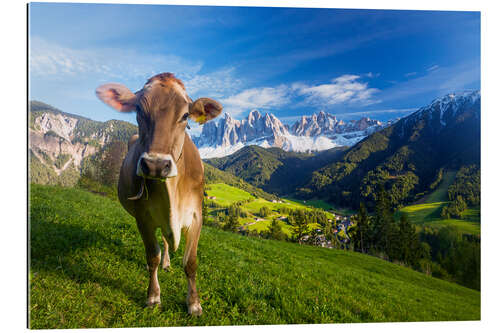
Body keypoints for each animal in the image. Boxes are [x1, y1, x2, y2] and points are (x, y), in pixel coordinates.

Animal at [95, 72, 223, 314]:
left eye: (185, 115)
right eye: (138, 110)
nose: (155, 165)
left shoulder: (196, 215)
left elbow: (191, 262)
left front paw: (194, 303)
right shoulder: (143, 217)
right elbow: (151, 255)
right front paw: (153, 296)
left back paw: (167, 263)